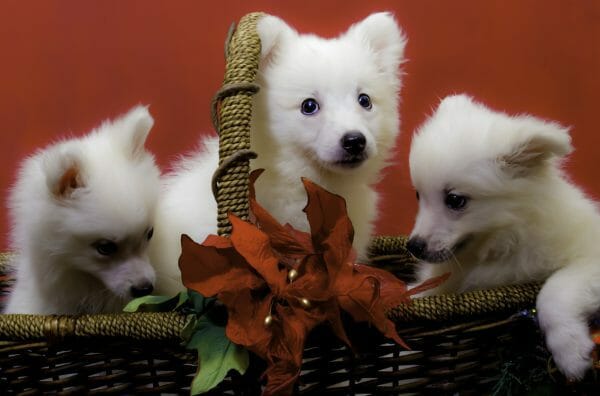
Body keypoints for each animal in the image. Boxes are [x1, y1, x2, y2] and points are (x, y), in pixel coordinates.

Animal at [408, 93, 600, 380]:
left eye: (455, 200)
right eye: (418, 195)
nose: (413, 246)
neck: (505, 242)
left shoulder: (589, 257)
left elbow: (553, 291)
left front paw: (570, 353)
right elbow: (415, 292)